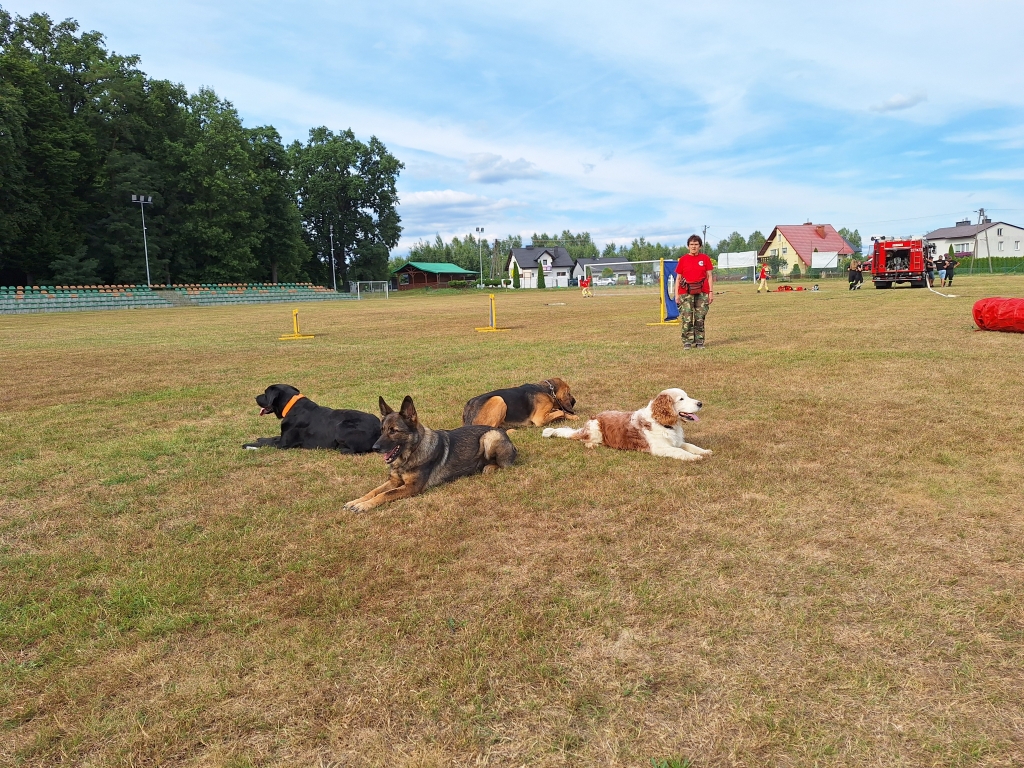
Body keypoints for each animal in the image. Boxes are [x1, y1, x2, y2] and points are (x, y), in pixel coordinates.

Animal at [242, 382, 380, 454]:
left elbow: (267, 444)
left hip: (341, 426)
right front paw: (261, 438)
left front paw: (248, 445)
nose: (255, 397)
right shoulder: (282, 436)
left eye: (265, 394)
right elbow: (271, 438)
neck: (291, 406)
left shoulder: (283, 444)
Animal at [346, 393, 520, 514]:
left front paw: (364, 505)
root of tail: (504, 433)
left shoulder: (411, 487)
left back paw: (489, 467)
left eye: (393, 431)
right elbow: (374, 491)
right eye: (382, 430)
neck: (411, 454)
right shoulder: (394, 481)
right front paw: (356, 501)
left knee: (504, 464)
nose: (374, 447)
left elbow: (385, 494)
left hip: (490, 437)